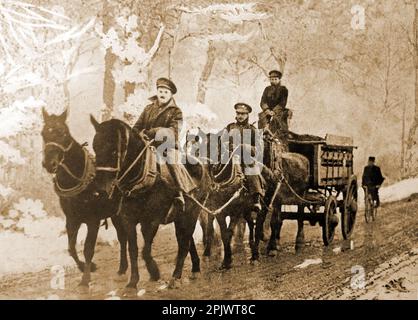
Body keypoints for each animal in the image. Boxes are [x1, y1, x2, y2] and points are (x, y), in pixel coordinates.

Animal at [42, 109, 129, 286]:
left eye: (63, 132)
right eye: (43, 134)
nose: (49, 164)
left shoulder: (93, 221)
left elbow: (88, 248)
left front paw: (85, 278)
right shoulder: (72, 219)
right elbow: (71, 247)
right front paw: (85, 267)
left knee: (124, 237)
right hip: (114, 214)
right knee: (122, 238)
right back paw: (122, 268)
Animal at [90, 116, 211, 292]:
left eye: (113, 150)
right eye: (95, 147)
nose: (99, 187)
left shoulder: (152, 220)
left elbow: (146, 250)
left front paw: (154, 272)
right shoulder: (127, 220)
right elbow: (133, 249)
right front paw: (133, 281)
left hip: (192, 212)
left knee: (185, 241)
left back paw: (176, 276)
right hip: (180, 216)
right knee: (185, 239)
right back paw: (194, 268)